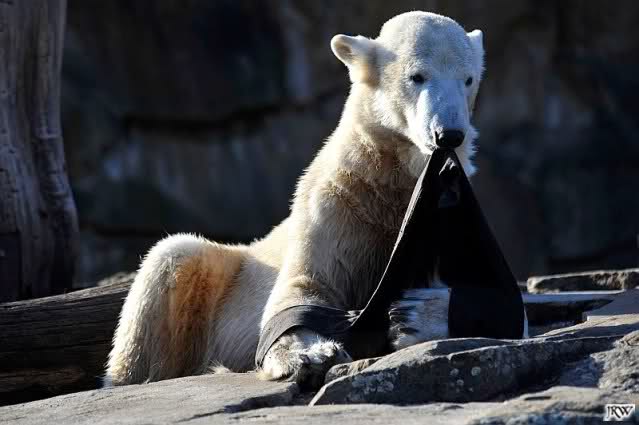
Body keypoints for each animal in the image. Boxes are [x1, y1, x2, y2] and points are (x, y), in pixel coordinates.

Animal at [105, 11, 487, 389]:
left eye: (468, 79)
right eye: (416, 76)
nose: (449, 134)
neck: (390, 179)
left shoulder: (448, 211)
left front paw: (416, 316)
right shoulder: (338, 204)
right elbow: (301, 289)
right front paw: (311, 354)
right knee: (171, 259)